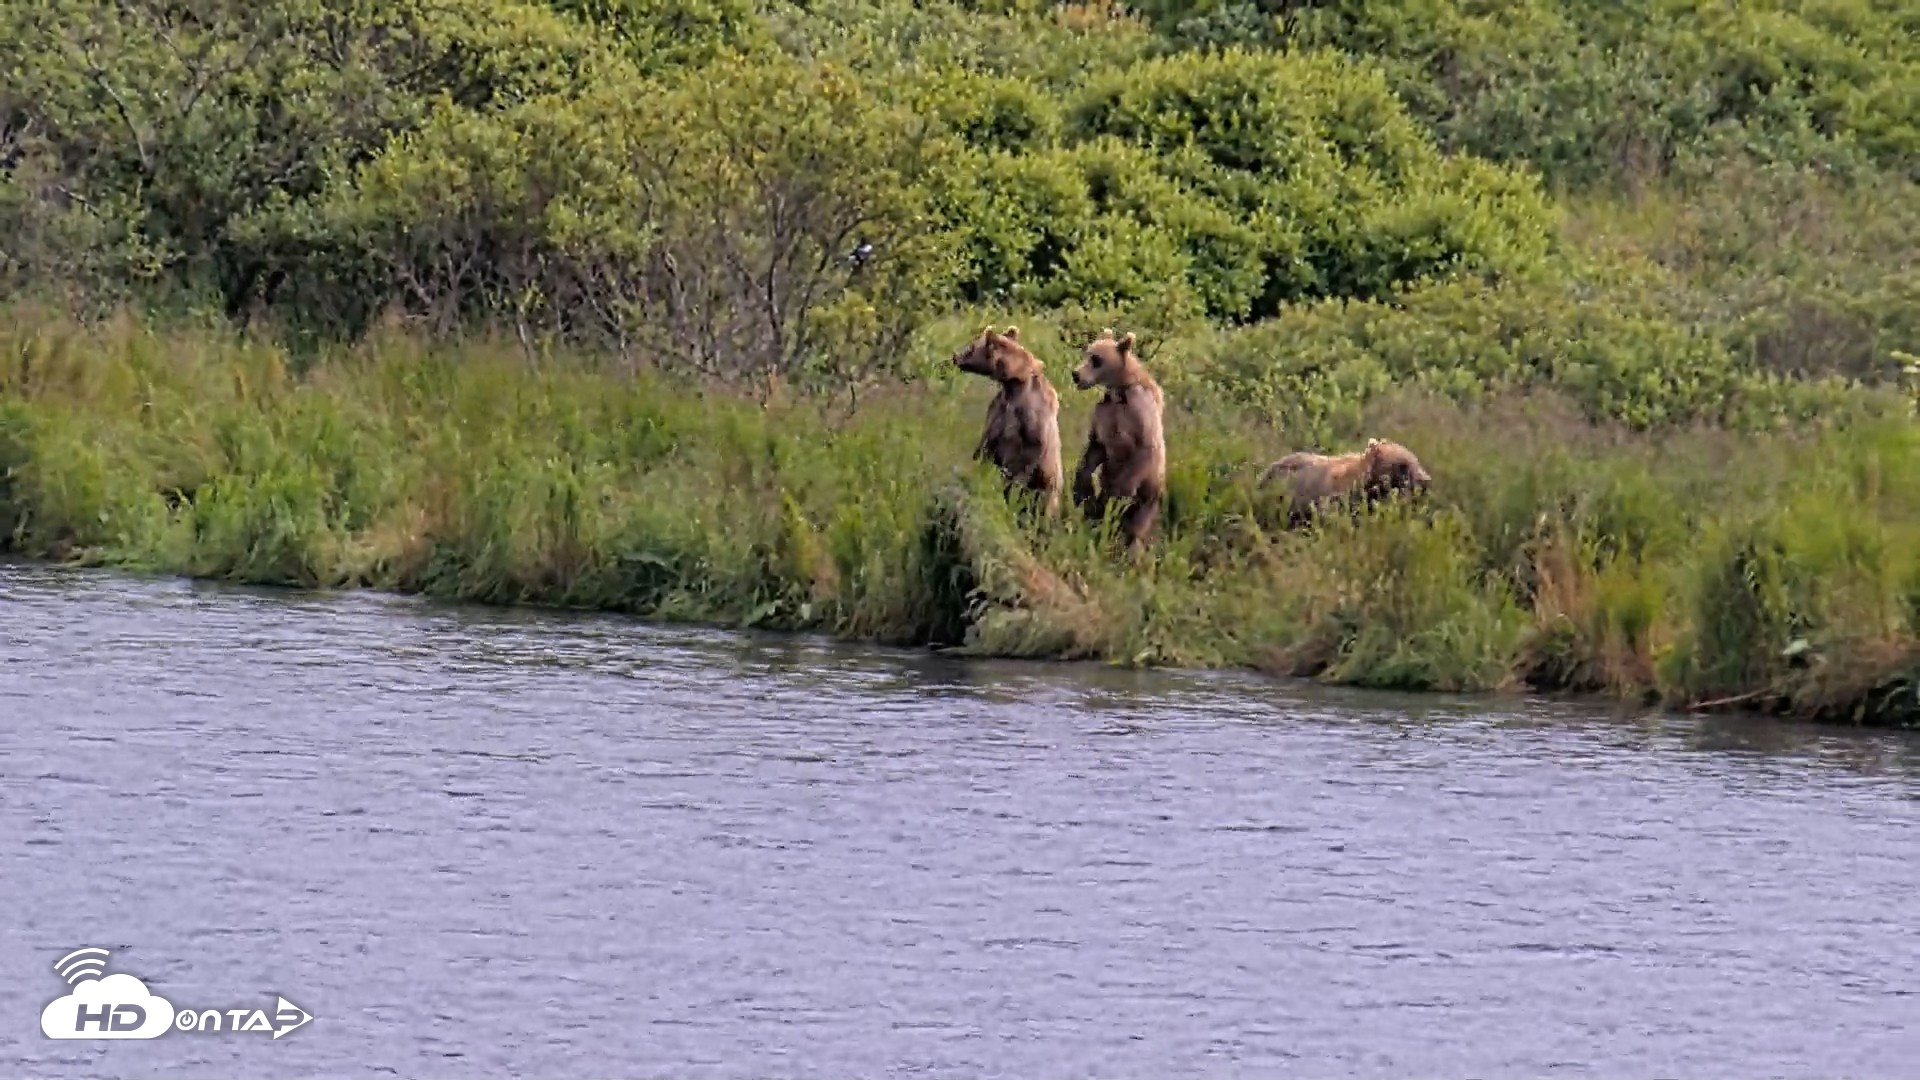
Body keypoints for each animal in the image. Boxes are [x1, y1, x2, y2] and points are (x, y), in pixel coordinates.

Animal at [951, 325, 1064, 518]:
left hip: (1049, 484)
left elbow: (1026, 456)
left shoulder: (1031, 424)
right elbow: (986, 444)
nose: (955, 356)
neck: (1014, 386)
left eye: (972, 347)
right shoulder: (999, 410)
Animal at [1069, 329, 1166, 551]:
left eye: (1097, 359)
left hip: (1149, 495)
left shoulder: (1139, 411)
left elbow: (1145, 447)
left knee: (1136, 526)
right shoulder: (1105, 413)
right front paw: (1082, 487)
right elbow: (1094, 450)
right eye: (1086, 353)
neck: (1118, 392)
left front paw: (1119, 494)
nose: (1076, 374)